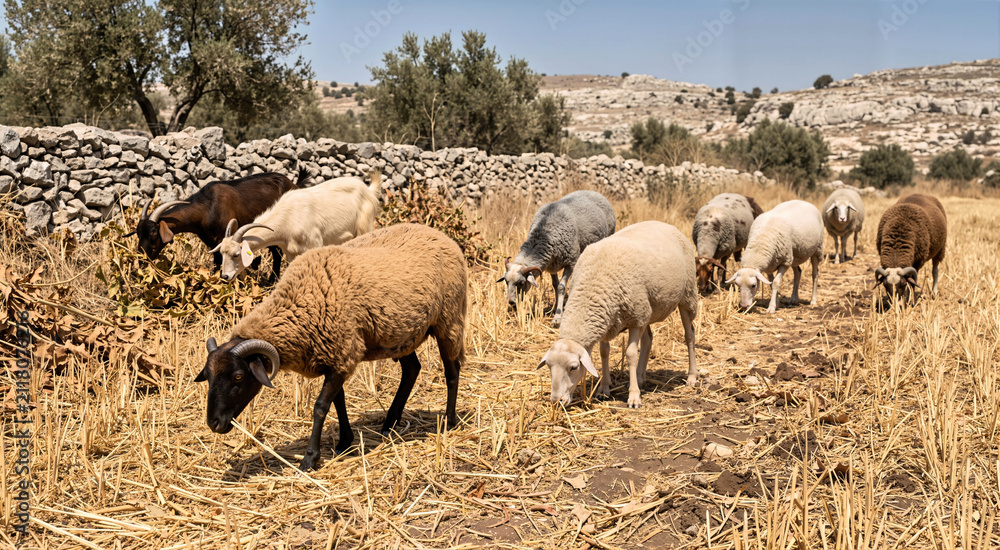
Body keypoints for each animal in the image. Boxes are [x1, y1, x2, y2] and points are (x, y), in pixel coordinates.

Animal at [127, 170, 300, 275]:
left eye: (153, 234)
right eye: (138, 234)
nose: (141, 259)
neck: (207, 208)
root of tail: (293, 184)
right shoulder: (212, 242)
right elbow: (217, 262)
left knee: (277, 254)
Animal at [194, 223, 467, 471]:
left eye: (238, 377)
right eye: (208, 376)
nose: (214, 424)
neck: (299, 305)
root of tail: (441, 235)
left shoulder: (343, 353)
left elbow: (320, 407)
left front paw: (309, 459)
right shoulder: (334, 357)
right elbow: (339, 401)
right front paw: (345, 442)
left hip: (449, 320)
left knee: (452, 372)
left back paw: (450, 421)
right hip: (400, 333)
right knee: (412, 370)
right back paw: (390, 422)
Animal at [212, 171, 382, 282]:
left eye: (236, 254)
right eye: (221, 252)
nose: (225, 276)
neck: (288, 218)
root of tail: (368, 190)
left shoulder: (314, 245)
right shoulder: (291, 254)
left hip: (365, 227)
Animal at [499, 190, 615, 327]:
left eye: (522, 283)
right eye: (506, 281)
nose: (511, 302)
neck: (544, 234)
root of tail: (593, 191)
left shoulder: (571, 262)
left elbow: (561, 287)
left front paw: (558, 318)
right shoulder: (552, 266)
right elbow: (555, 285)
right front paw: (554, 308)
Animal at [536, 221, 698, 409]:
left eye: (574, 367)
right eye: (549, 366)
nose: (556, 401)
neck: (592, 287)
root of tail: (665, 224)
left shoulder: (635, 318)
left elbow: (630, 354)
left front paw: (634, 397)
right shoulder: (608, 319)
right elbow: (604, 352)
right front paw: (604, 389)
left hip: (685, 296)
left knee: (689, 335)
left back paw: (691, 377)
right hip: (646, 307)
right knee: (648, 339)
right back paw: (640, 377)